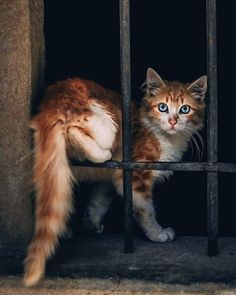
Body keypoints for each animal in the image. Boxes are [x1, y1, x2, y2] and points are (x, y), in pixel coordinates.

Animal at [22, 67, 206, 286]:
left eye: (185, 109)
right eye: (163, 107)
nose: (172, 121)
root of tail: (53, 101)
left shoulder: (113, 180)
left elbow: (98, 203)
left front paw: (91, 223)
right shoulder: (136, 174)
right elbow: (146, 210)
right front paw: (157, 233)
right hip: (106, 124)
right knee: (73, 130)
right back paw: (101, 153)